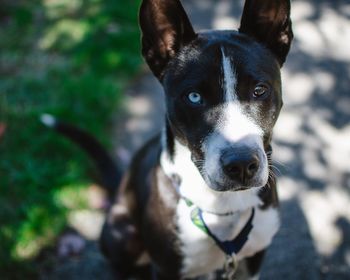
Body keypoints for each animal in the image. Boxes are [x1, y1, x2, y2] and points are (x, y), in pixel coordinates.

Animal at [42, 0, 292, 278]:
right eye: (194, 97)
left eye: (259, 90)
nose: (241, 165)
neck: (222, 208)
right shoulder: (166, 267)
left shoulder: (255, 256)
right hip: (122, 236)